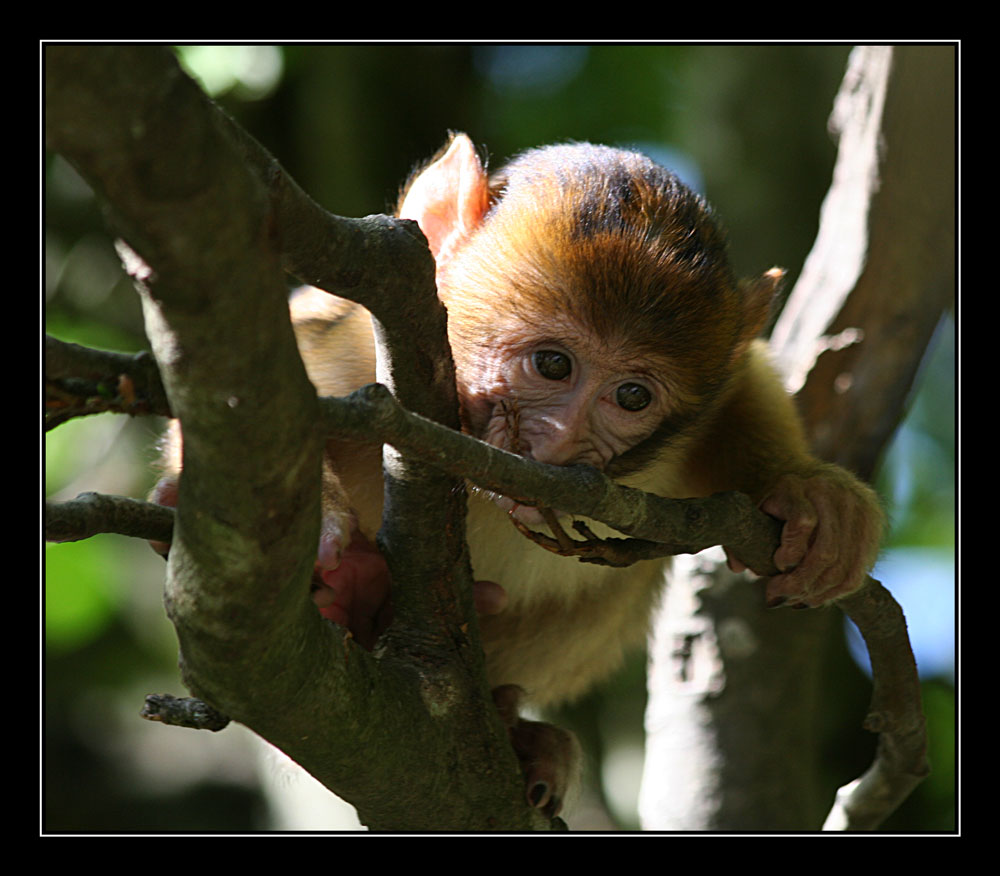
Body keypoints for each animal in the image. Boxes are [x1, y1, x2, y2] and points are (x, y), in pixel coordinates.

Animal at [152, 133, 880, 816]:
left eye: (632, 397)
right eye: (553, 365)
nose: (556, 443)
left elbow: (743, 383)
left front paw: (811, 494)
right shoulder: (356, 349)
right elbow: (236, 388)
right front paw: (314, 515)